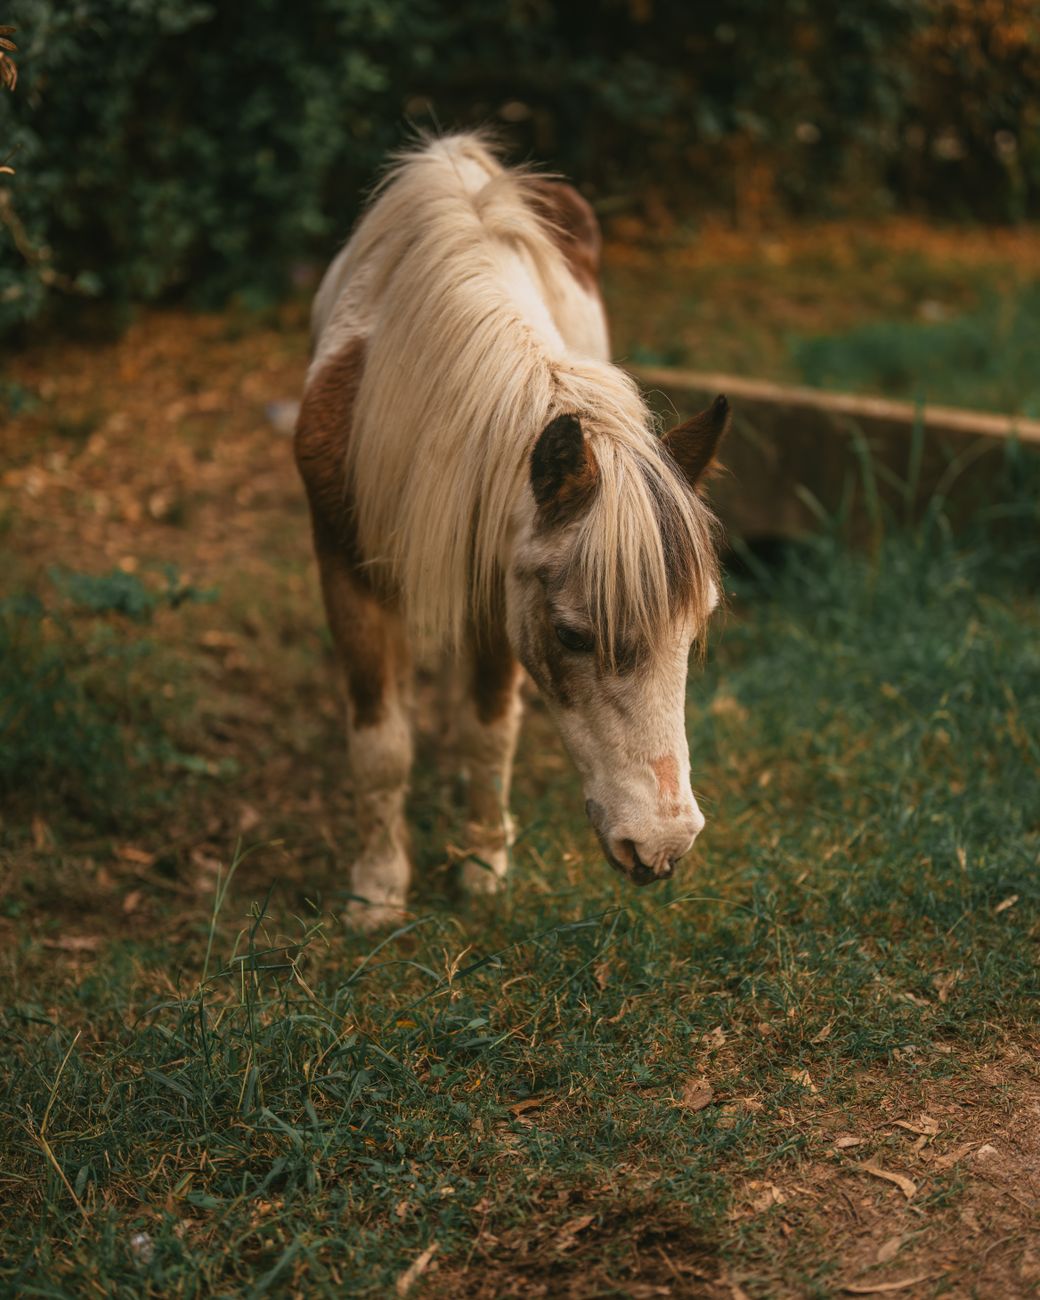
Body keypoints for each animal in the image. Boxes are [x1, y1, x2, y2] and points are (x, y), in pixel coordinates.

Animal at [294, 133, 728, 926]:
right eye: (572, 636)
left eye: (695, 628)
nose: (663, 848)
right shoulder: (343, 564)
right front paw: (377, 888)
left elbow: (488, 728)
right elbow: (380, 741)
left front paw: (483, 861)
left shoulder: (496, 584)